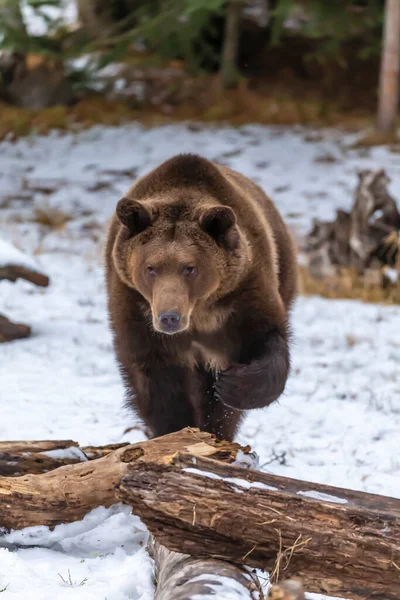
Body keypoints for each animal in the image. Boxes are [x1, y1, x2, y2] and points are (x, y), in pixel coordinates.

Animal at [106, 152, 296, 438]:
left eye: (190, 267)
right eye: (150, 268)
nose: (169, 317)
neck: (198, 313)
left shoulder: (243, 293)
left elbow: (265, 342)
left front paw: (230, 385)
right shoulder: (134, 305)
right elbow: (155, 380)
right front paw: (175, 427)